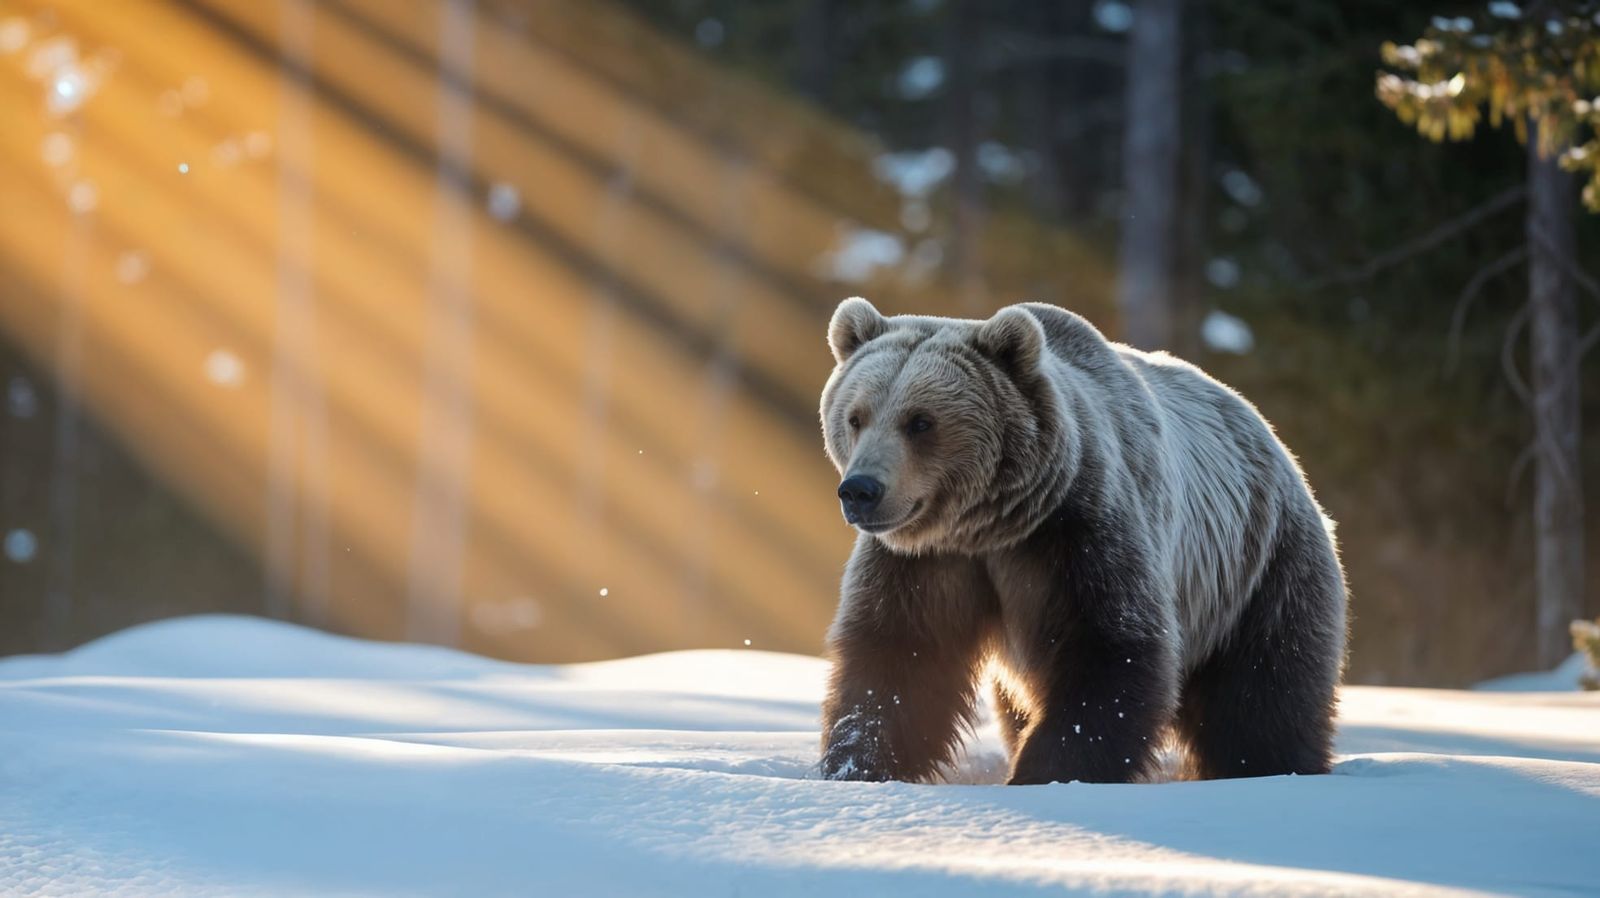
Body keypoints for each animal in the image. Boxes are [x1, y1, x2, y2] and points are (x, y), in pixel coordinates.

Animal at [817, 297, 1347, 785]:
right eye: (856, 417)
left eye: (920, 421)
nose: (860, 490)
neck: (989, 527)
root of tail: (1270, 436)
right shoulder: (926, 562)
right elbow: (899, 659)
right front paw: (856, 767)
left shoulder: (1077, 534)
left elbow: (1111, 651)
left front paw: (1047, 774)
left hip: (1259, 569)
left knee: (1263, 694)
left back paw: (1276, 767)